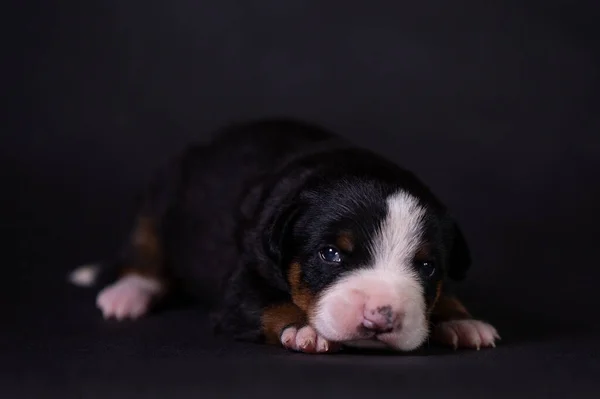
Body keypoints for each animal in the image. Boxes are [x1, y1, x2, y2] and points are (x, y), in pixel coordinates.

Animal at [70, 118, 500, 354]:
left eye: (427, 267)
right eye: (331, 254)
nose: (382, 315)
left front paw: (461, 320)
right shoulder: (243, 280)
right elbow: (270, 304)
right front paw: (304, 328)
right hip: (159, 197)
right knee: (144, 250)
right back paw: (128, 293)